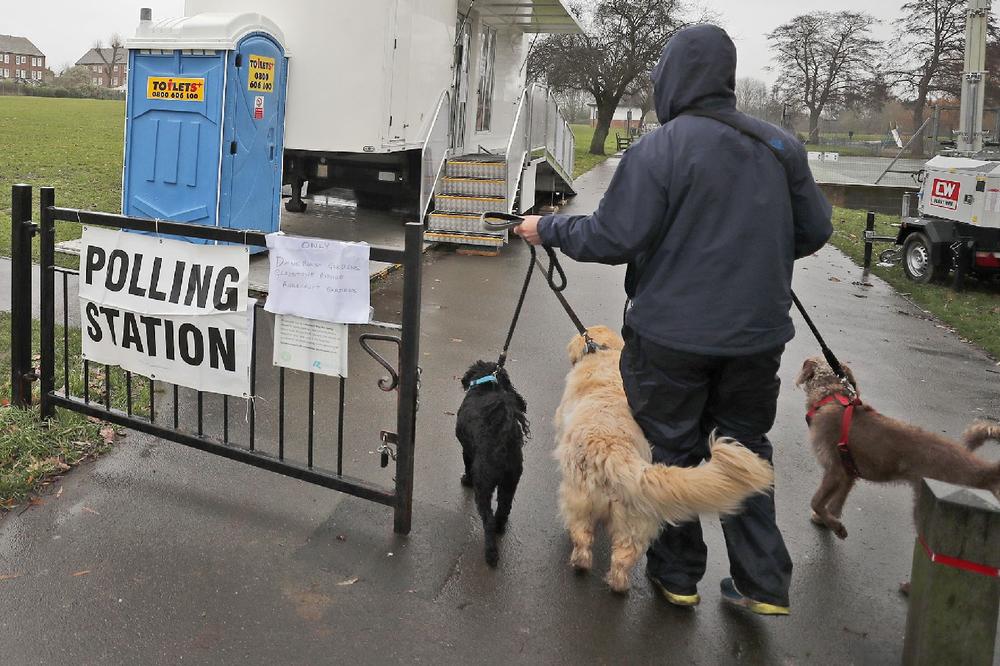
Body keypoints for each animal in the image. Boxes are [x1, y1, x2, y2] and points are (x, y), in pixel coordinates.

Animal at [456, 358, 528, 564]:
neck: (486, 386)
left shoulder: (466, 449)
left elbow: (467, 465)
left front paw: (466, 480)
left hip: (484, 484)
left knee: (487, 518)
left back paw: (491, 554)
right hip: (511, 481)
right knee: (504, 508)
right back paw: (500, 527)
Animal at [556, 324, 772, 588]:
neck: (601, 354)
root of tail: (615, 455)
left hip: (579, 500)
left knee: (582, 536)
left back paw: (580, 562)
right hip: (633, 521)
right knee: (624, 556)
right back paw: (619, 584)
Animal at [796, 356, 1000, 536]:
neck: (830, 396)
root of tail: (986, 470)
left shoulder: (835, 470)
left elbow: (816, 502)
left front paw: (834, 525)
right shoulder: (848, 474)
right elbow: (835, 504)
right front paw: (828, 521)